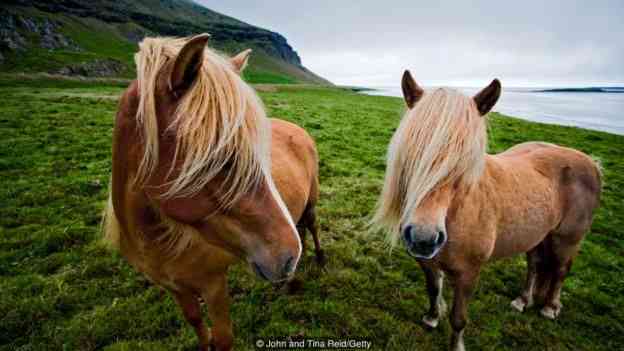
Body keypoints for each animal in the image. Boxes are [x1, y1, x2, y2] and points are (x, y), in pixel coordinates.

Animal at [103, 35, 324, 351]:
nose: (288, 256)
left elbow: (223, 339)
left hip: (312, 202)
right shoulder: (175, 287)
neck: (157, 242)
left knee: (313, 225)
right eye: (221, 158)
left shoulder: (214, 285)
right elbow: (195, 320)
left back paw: (319, 259)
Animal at [372, 70, 604, 350]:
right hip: (538, 235)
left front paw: (456, 345)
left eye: (464, 162)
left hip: (566, 239)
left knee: (559, 270)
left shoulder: (469, 274)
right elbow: (433, 290)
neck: (456, 214)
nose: (423, 238)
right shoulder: (427, 263)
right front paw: (431, 318)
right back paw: (522, 300)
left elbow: (458, 318)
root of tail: (591, 162)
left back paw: (549, 307)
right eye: (411, 151)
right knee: (535, 265)